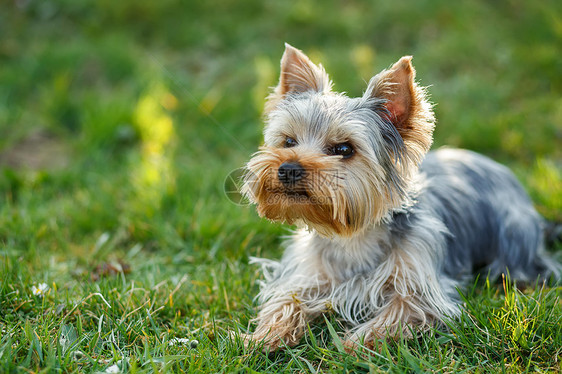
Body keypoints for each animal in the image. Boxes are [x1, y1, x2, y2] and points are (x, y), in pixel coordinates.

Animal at [238, 43, 556, 350]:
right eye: (289, 141)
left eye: (344, 149)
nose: (288, 168)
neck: (352, 236)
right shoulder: (308, 273)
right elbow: (286, 299)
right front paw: (263, 336)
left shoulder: (423, 288)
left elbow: (401, 310)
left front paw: (354, 345)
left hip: (513, 235)